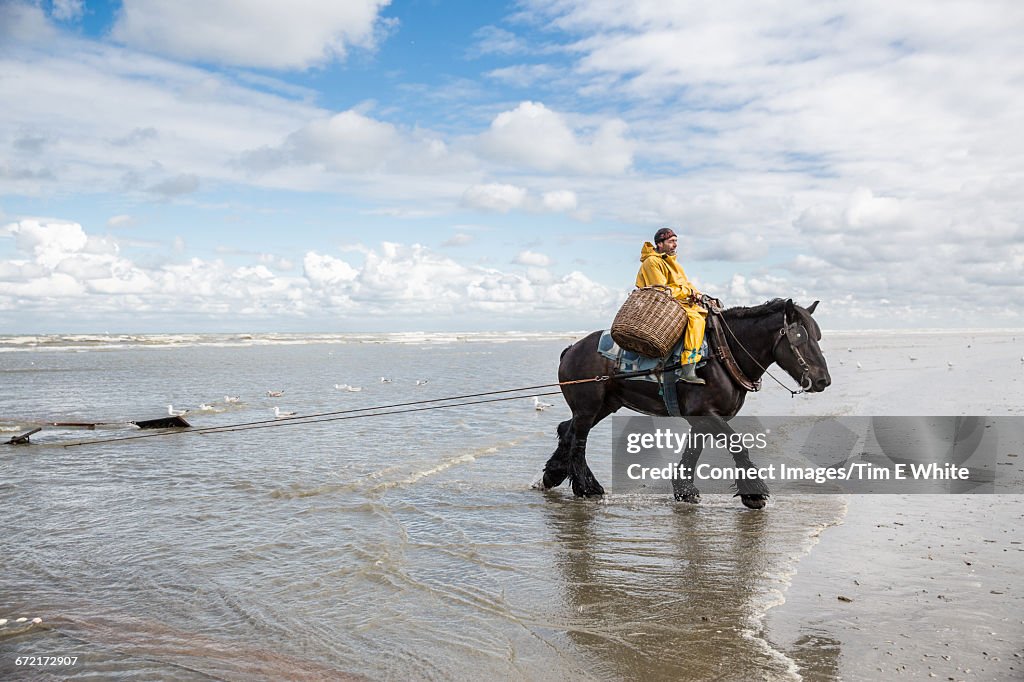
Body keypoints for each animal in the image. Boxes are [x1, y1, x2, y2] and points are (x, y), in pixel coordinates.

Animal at [538, 298, 831, 509]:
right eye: (800, 338)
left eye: (818, 337)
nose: (823, 380)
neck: (721, 355)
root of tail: (572, 348)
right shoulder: (705, 414)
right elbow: (738, 446)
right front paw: (753, 494)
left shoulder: (702, 419)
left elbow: (693, 452)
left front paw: (684, 490)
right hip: (588, 407)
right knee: (578, 440)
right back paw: (587, 487)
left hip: (605, 405)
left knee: (567, 430)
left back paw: (553, 474)